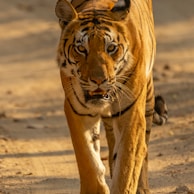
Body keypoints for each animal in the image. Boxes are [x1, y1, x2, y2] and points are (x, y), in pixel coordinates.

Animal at [55, 0, 167, 193]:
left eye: (111, 48)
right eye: (81, 49)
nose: (99, 80)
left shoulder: (131, 114)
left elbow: (127, 166)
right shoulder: (76, 110)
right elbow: (88, 161)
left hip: (147, 99)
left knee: (143, 148)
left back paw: (142, 187)